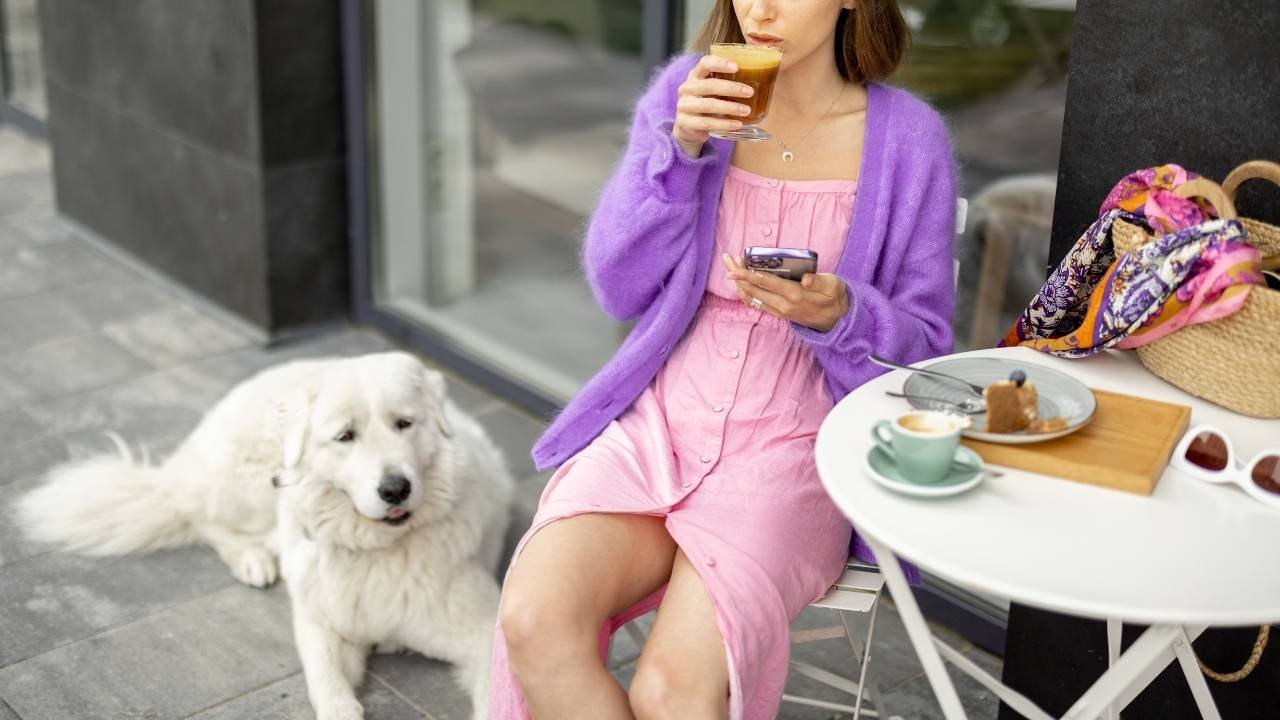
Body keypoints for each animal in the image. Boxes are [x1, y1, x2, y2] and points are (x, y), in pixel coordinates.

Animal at [16, 351, 514, 712]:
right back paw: (252, 559)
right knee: (200, 517)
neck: (379, 550)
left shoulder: (485, 634)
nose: (395, 489)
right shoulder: (319, 625)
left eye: (404, 424)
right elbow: (328, 689)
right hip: (251, 487)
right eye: (345, 436)